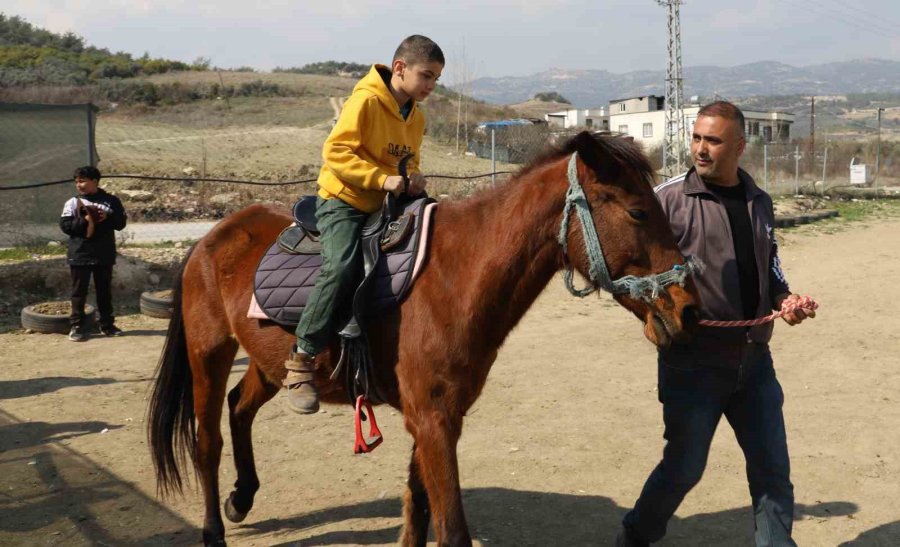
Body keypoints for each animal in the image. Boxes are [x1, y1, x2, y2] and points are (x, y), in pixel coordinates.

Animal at [148, 131, 704, 544]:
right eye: (638, 212)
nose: (689, 309)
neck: (455, 276)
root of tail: (210, 239)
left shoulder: (439, 416)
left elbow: (417, 505)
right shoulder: (433, 419)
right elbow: (450, 528)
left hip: (268, 363)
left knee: (240, 407)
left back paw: (241, 498)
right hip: (209, 354)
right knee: (206, 441)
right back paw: (214, 529)